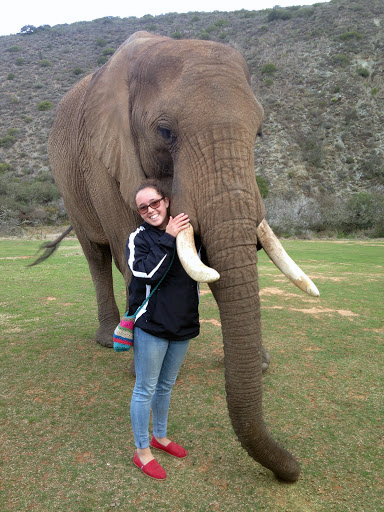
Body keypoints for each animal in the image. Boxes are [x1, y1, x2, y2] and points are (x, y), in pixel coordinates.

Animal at [45, 31, 320, 480]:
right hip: (69, 185)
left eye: (260, 132)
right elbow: (130, 251)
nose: (292, 471)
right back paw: (109, 340)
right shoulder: (102, 157)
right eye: (165, 131)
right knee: (96, 255)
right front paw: (138, 361)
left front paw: (259, 363)